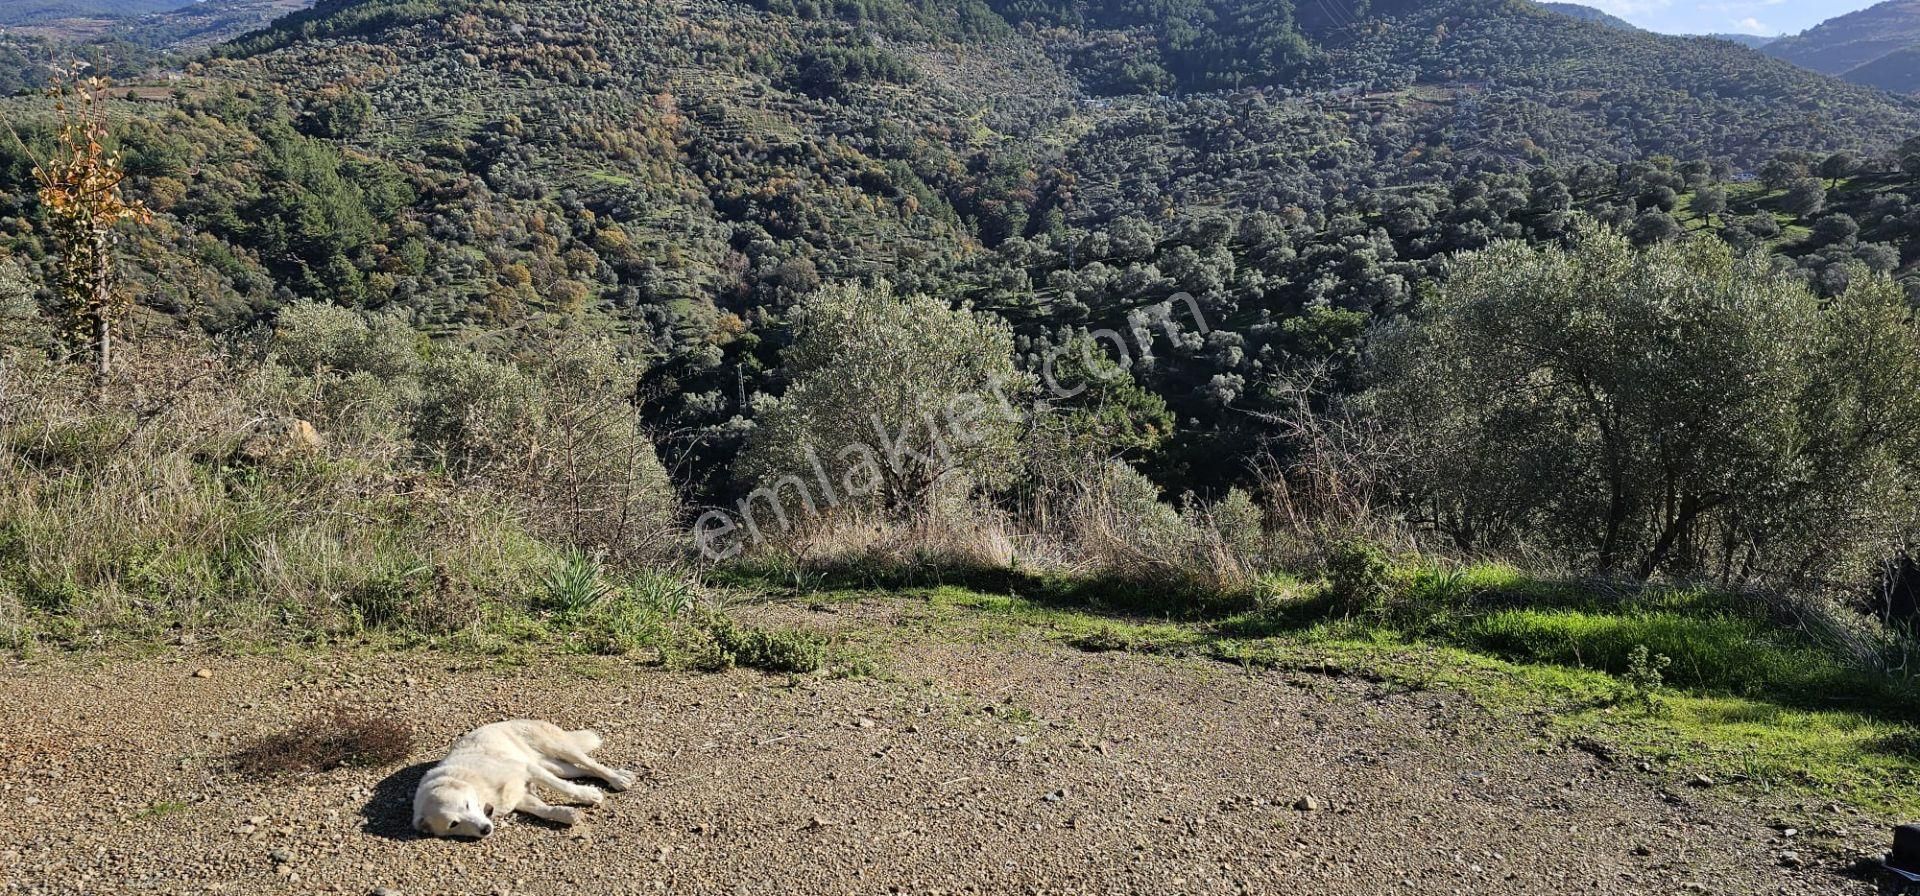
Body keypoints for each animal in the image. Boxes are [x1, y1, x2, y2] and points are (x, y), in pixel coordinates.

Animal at [412, 721, 637, 840]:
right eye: (453, 824)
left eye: (467, 805)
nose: (486, 830)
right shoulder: (521, 798)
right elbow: (544, 810)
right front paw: (567, 814)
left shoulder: (527, 770)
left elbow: (564, 788)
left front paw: (587, 795)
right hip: (559, 767)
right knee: (581, 771)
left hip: (558, 748)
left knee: (592, 764)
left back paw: (618, 779)